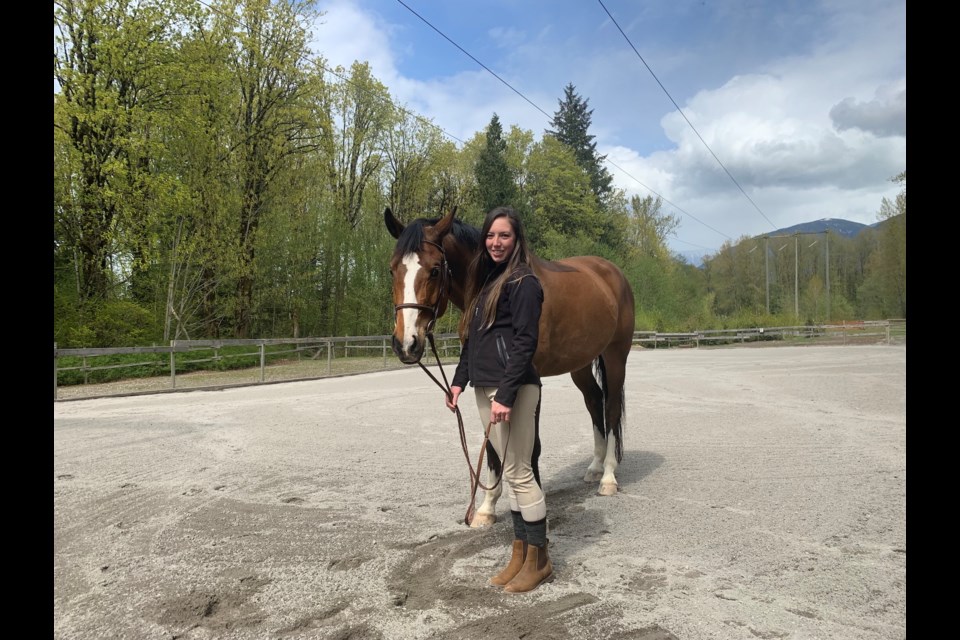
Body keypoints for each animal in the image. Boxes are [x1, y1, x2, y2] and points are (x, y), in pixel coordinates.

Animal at [386, 208, 632, 528]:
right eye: (393, 270)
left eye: (435, 270)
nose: (406, 344)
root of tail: (612, 273)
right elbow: (492, 445)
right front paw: (486, 507)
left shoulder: (529, 379)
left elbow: (531, 447)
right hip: (580, 364)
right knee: (594, 400)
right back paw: (594, 467)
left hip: (616, 356)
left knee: (611, 406)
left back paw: (608, 477)